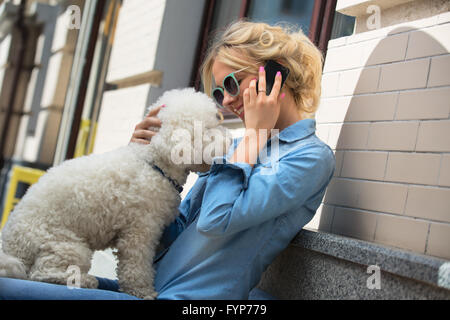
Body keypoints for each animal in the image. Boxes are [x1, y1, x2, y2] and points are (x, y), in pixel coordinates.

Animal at [0, 87, 230, 298]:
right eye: (210, 128)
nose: (228, 140)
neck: (154, 163)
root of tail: (12, 246)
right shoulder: (140, 231)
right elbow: (136, 266)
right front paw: (143, 291)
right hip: (65, 245)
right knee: (41, 273)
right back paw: (85, 281)